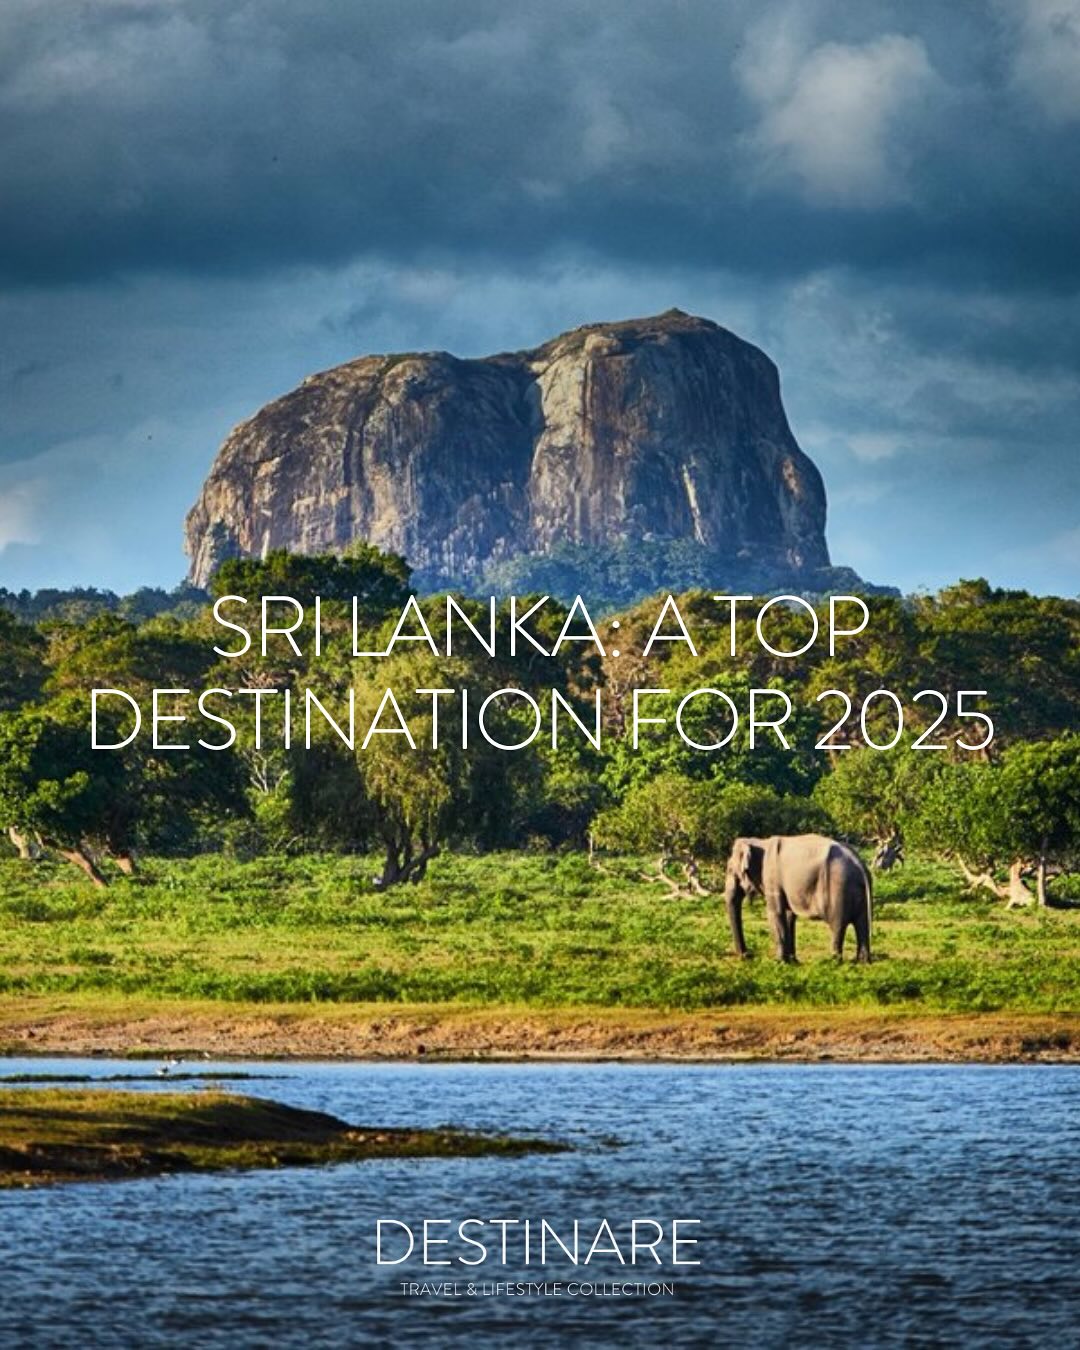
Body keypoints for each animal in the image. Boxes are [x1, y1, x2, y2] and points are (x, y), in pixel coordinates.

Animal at [724, 834, 872, 963]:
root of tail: (859, 865)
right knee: (862, 924)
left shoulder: (771, 878)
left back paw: (832, 961)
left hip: (839, 888)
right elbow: (789, 916)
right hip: (857, 891)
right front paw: (793, 961)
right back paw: (862, 962)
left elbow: (776, 913)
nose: (747, 955)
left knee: (838, 925)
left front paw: (779, 962)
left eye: (730, 870)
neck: (759, 841)